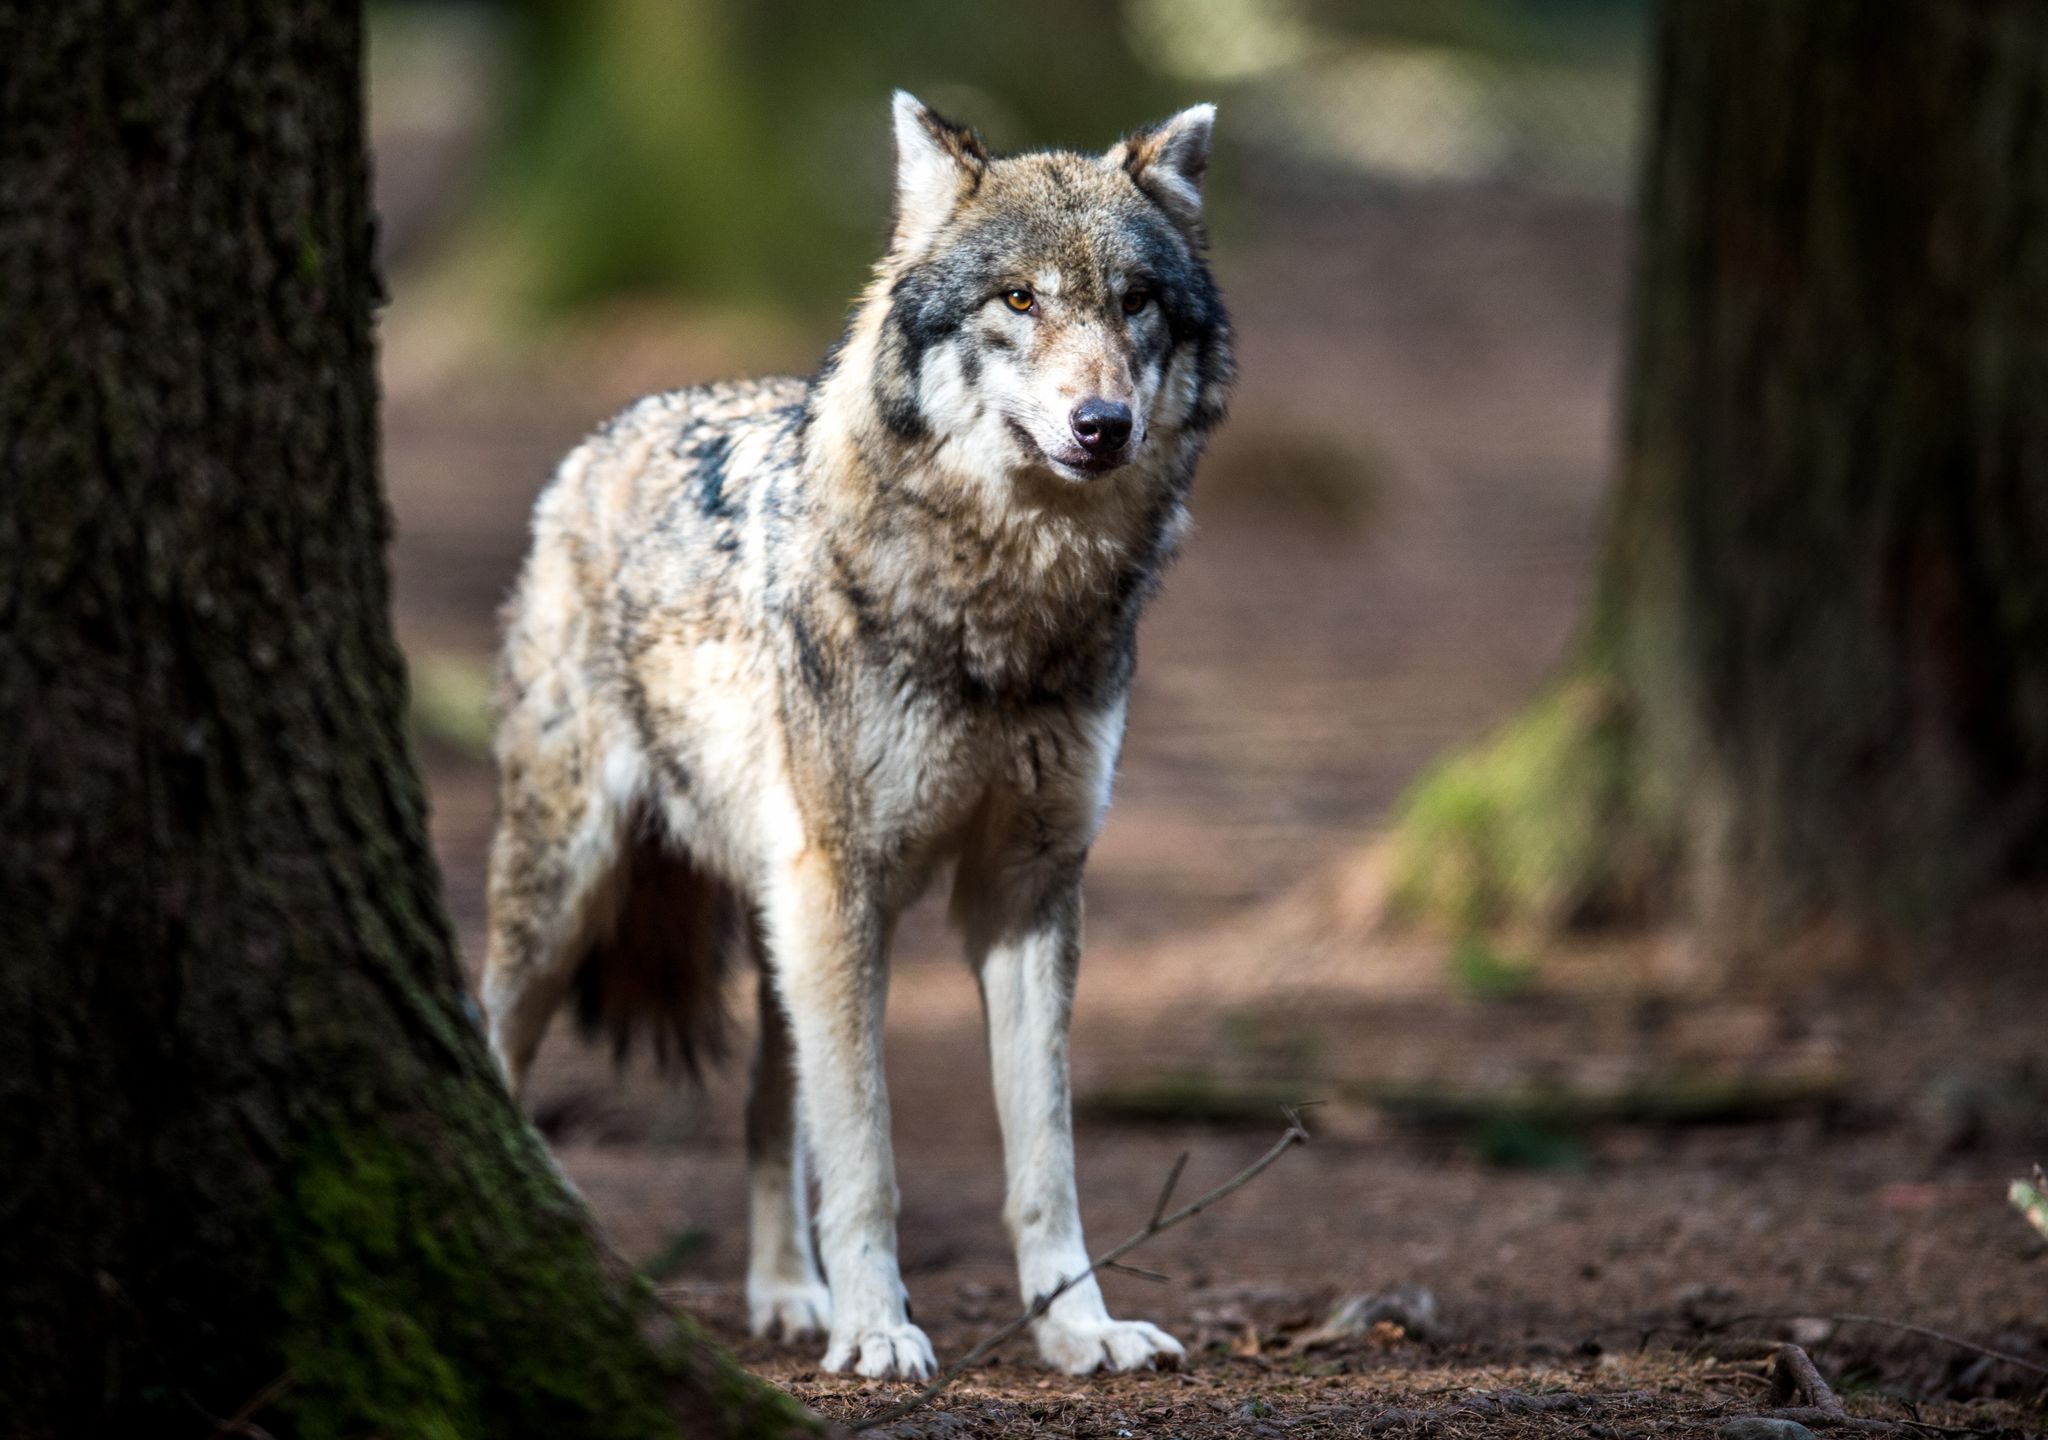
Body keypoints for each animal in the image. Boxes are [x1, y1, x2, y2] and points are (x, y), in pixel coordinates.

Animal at [479, 92, 1235, 1381]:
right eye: (1017, 301)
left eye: (1134, 301)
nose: (1102, 425)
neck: (1004, 610)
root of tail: (607, 433)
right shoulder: (846, 883)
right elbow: (868, 1156)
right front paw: (880, 1330)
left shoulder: (1026, 890)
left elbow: (1045, 1159)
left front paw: (1076, 1329)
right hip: (579, 894)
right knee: (492, 1044)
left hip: (784, 919)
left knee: (763, 1112)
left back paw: (791, 1296)